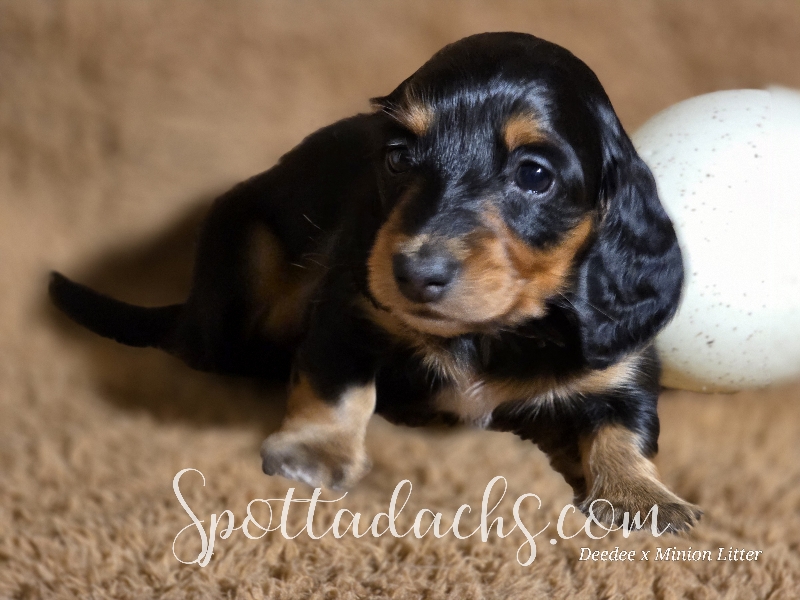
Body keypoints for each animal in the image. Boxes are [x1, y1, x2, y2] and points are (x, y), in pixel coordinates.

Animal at [50, 32, 701, 532]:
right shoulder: (347, 310)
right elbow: (337, 383)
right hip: (247, 260)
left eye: (535, 175)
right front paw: (315, 451)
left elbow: (627, 425)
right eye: (397, 158)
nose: (413, 272)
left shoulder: (622, 364)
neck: (485, 333)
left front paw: (643, 495)